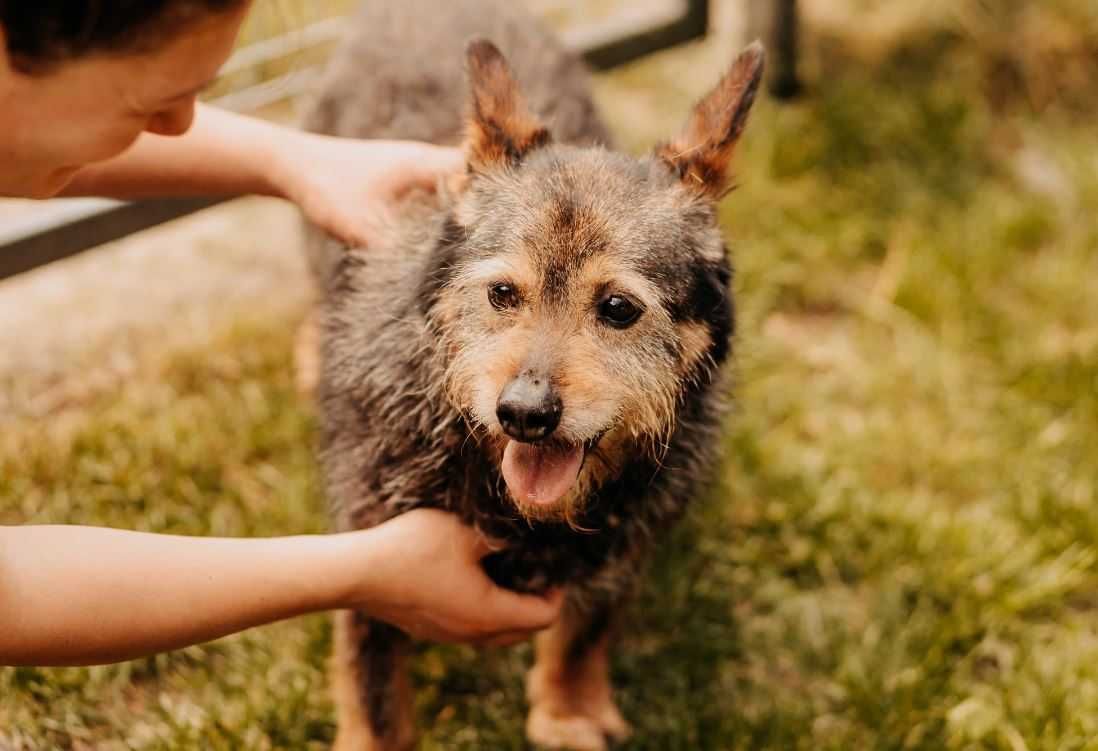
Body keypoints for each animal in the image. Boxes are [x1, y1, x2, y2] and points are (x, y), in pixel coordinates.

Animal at [300, 2, 764, 746]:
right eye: (501, 293)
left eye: (618, 307)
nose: (523, 412)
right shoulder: (370, 555)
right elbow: (375, 694)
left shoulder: (623, 546)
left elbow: (584, 630)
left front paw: (567, 709)